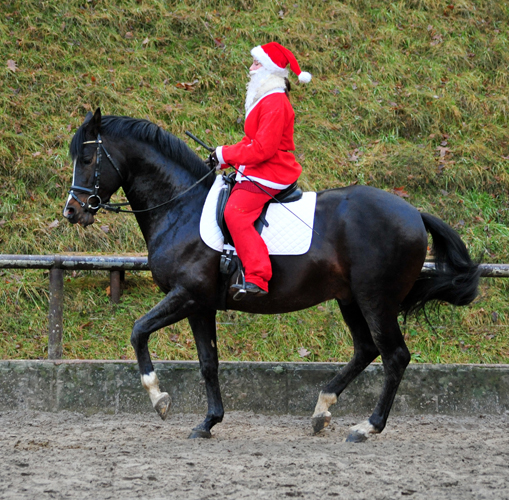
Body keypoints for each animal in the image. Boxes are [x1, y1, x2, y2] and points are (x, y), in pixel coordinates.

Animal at [63, 108, 480, 442]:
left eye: (88, 156)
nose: (72, 211)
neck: (180, 206)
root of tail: (414, 213)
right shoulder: (200, 305)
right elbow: (208, 363)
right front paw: (208, 422)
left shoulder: (186, 294)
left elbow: (138, 331)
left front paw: (159, 398)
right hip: (349, 299)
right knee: (366, 350)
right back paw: (322, 409)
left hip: (376, 299)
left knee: (394, 356)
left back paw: (367, 426)